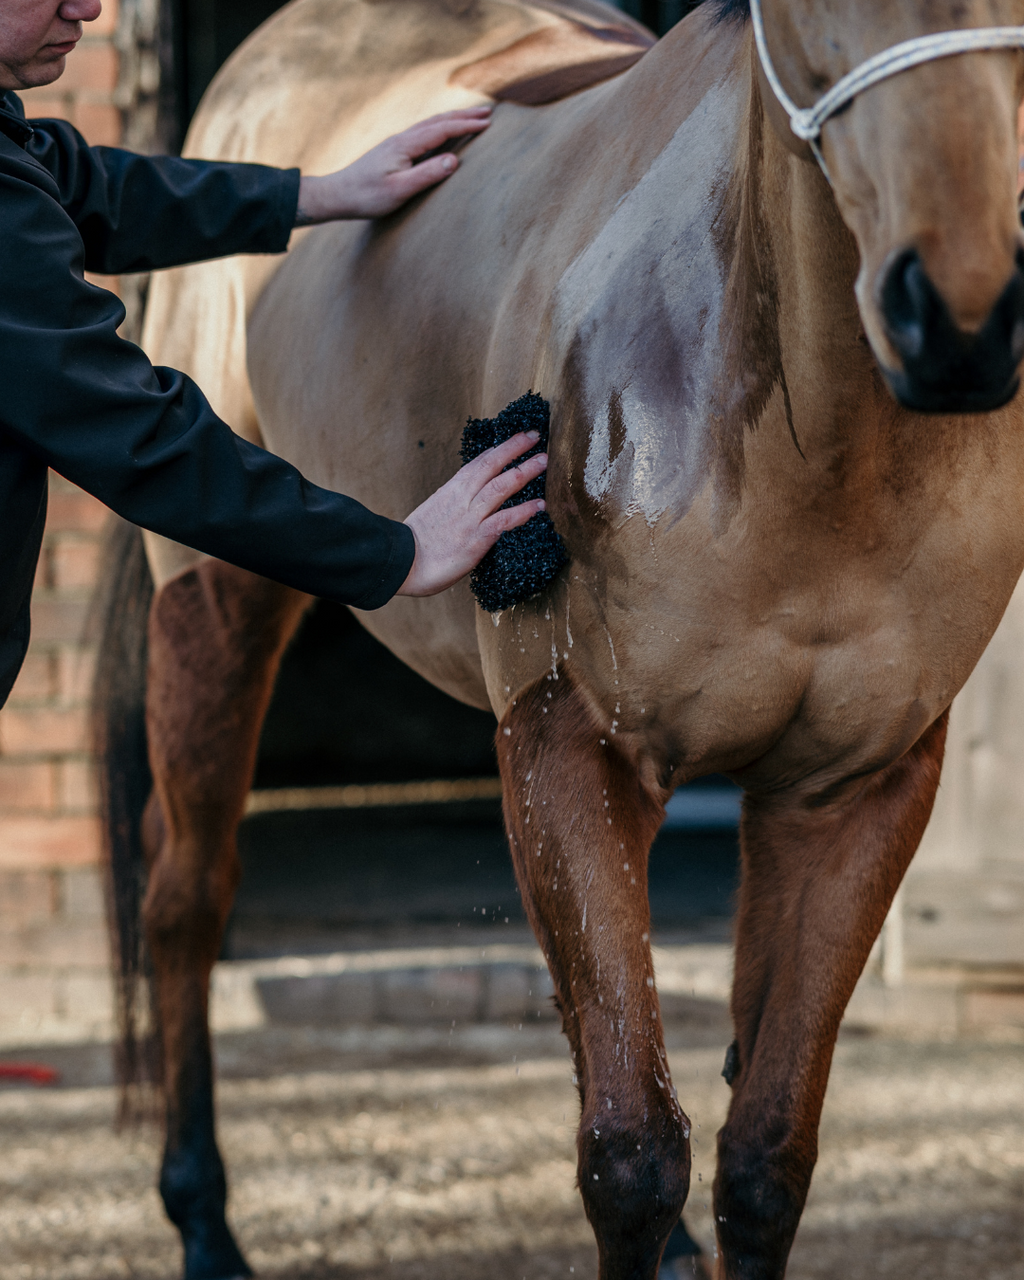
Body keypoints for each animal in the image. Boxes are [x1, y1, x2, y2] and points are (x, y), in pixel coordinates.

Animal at [93, 0, 1024, 1277]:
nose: (963, 319)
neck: (804, 441)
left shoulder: (852, 788)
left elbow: (761, 1158)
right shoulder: (569, 743)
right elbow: (629, 1157)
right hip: (218, 606)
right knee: (186, 894)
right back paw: (202, 1223)